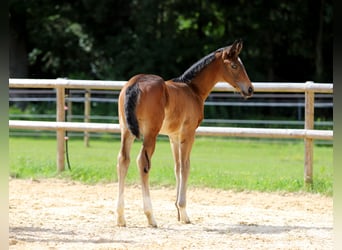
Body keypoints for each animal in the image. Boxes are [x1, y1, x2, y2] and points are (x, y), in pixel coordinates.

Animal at [116, 39, 252, 227]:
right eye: (234, 66)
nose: (250, 89)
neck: (192, 89)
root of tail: (134, 84)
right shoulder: (188, 134)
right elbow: (186, 167)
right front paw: (184, 212)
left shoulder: (174, 137)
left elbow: (177, 167)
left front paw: (178, 213)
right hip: (151, 133)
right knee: (142, 162)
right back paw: (151, 217)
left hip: (126, 131)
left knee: (123, 160)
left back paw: (121, 217)